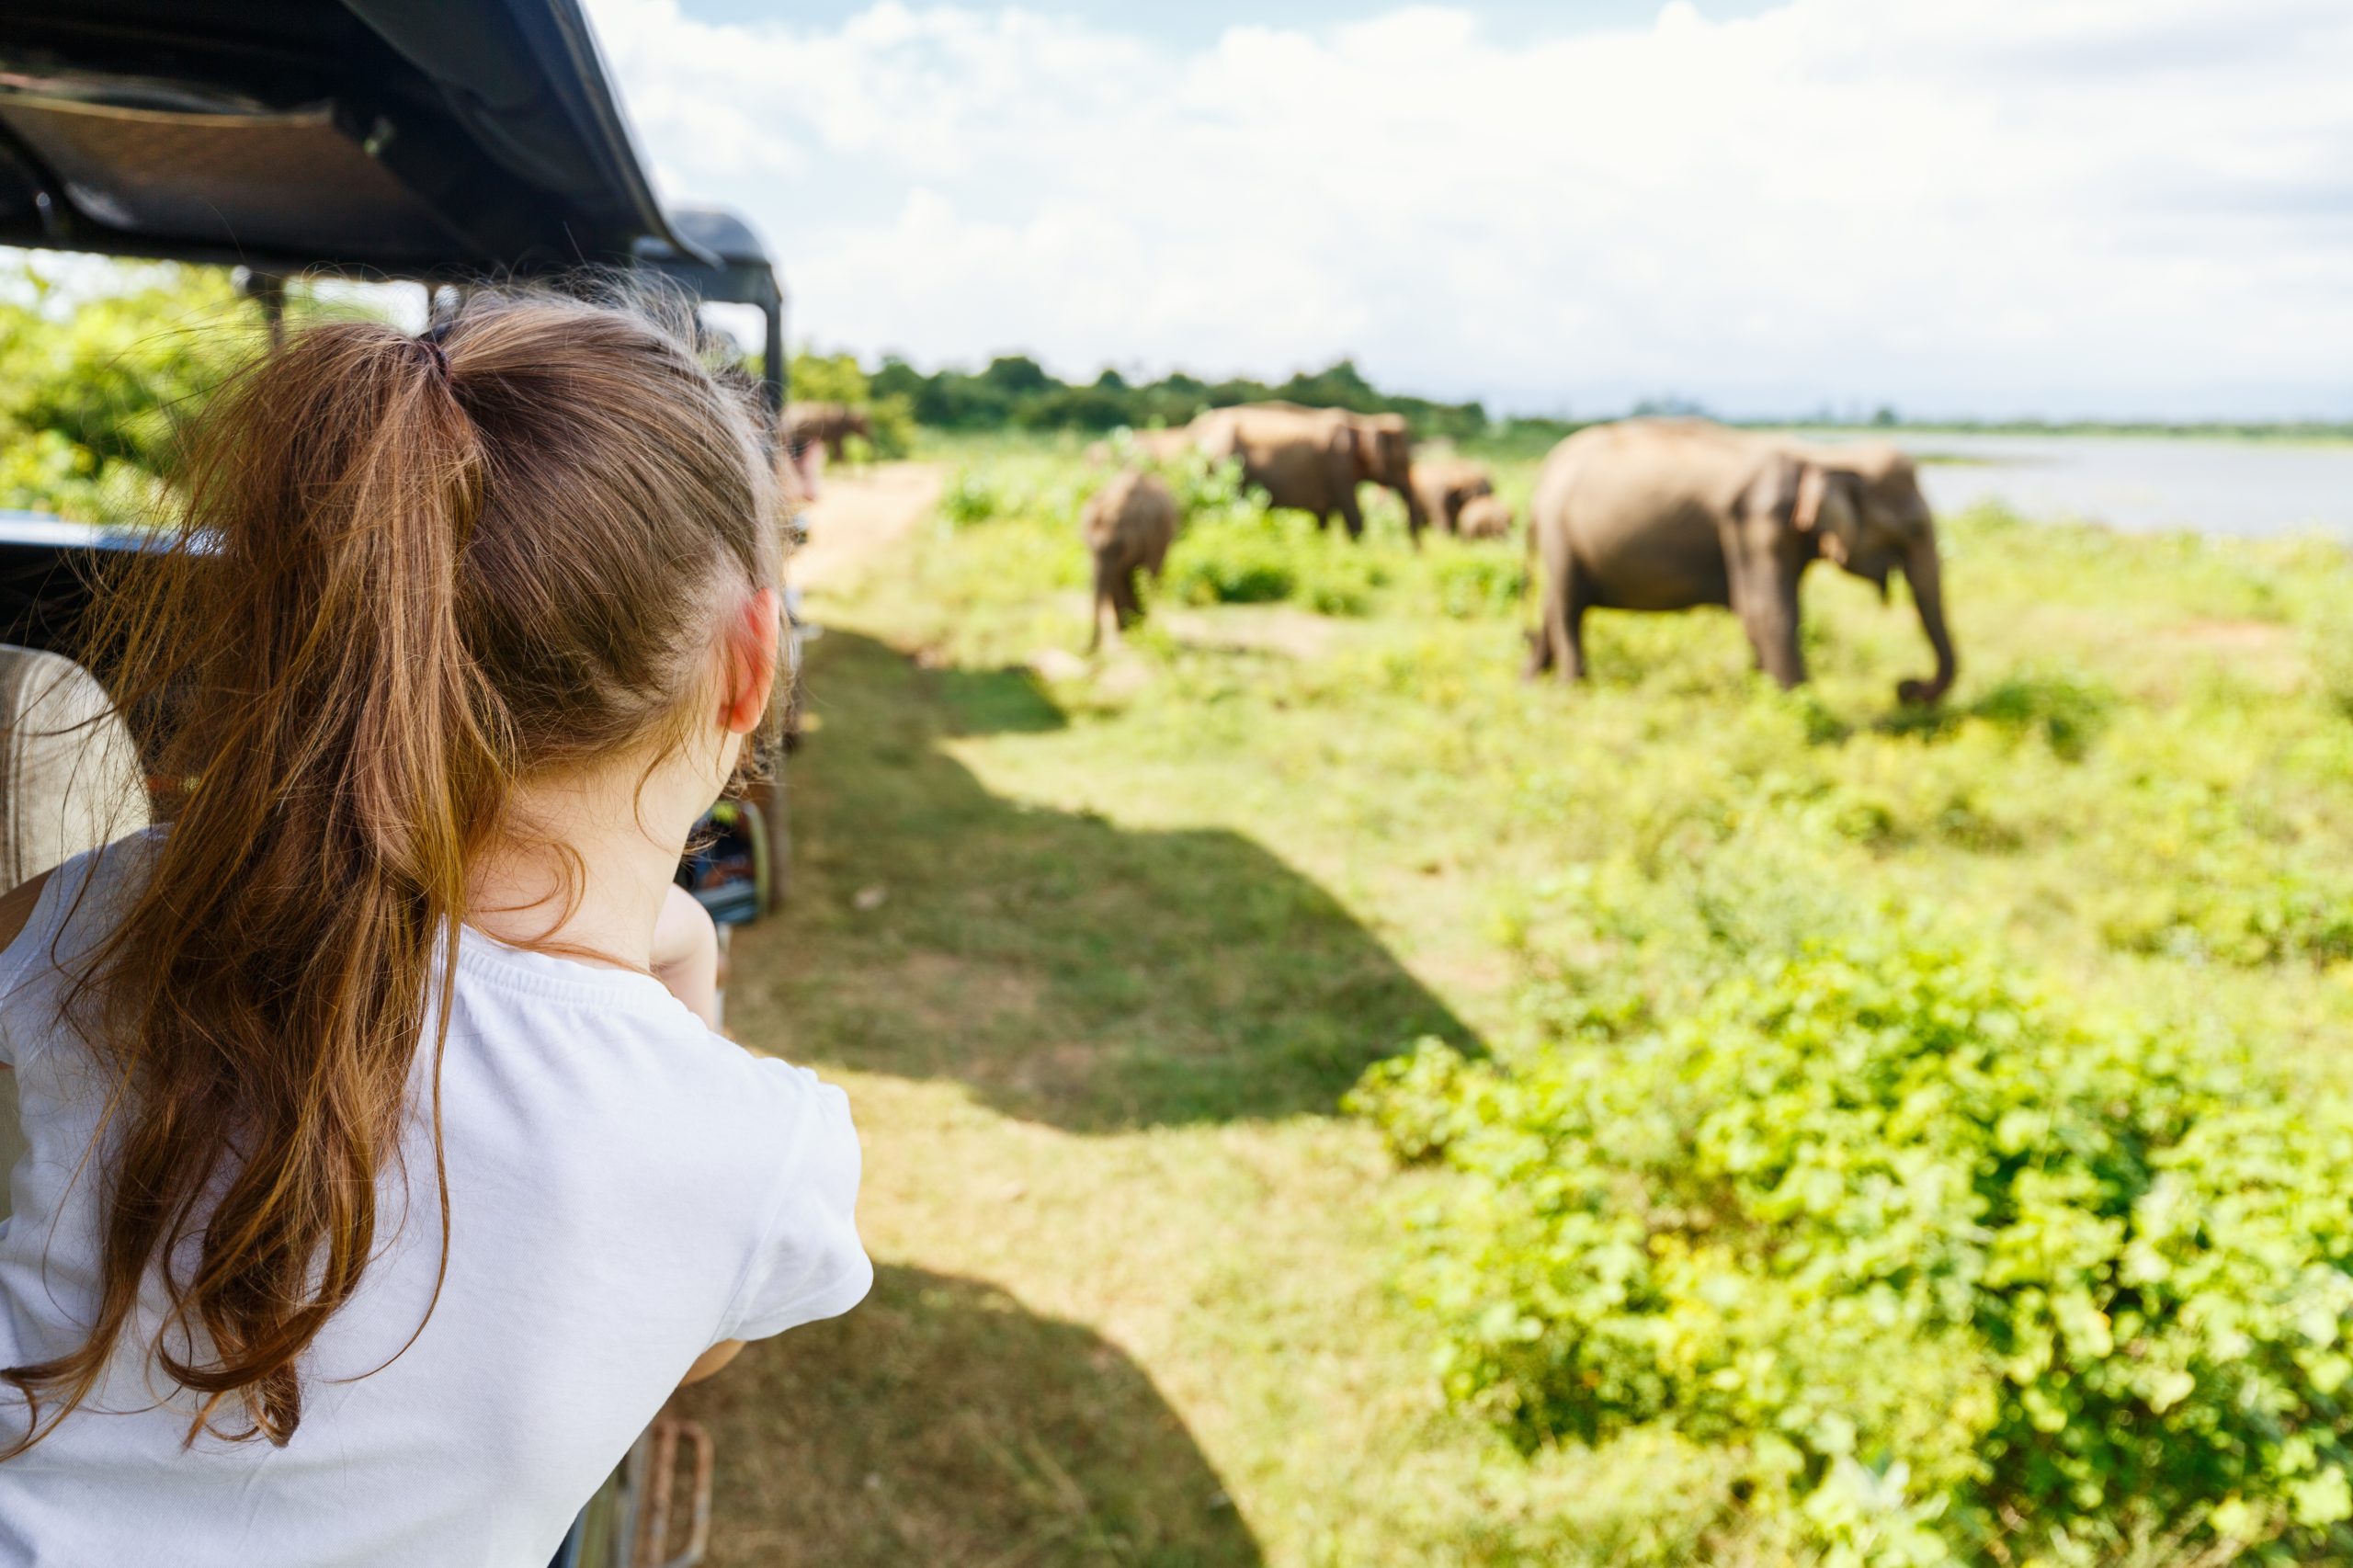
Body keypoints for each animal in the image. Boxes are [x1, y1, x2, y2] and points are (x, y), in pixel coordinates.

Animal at [1086, 463, 1186, 644]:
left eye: (1117, 547)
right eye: (1090, 547)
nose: (1085, 649)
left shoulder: (1153, 534)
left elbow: (1148, 572)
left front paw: (1141, 630)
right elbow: (1117, 577)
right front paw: (1129, 629)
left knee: (1153, 574)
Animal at [1515, 421, 1957, 701]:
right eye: (1914, 528)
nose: (1906, 688)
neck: (1822, 455)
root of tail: (1542, 479)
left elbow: (1760, 612)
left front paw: (1764, 692)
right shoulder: (1756, 523)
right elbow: (1767, 609)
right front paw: (1800, 707)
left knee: (1556, 602)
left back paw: (1532, 681)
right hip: (1560, 532)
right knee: (1568, 606)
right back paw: (1571, 688)